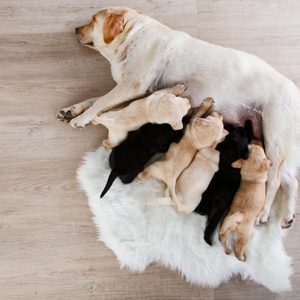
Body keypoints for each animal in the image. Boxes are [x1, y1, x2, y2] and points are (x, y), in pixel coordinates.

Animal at [58, 7, 300, 227]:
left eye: (92, 20)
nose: (75, 29)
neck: (132, 36)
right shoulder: (135, 91)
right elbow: (96, 100)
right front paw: (73, 109)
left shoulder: (132, 86)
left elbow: (101, 101)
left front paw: (81, 118)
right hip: (269, 142)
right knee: (290, 180)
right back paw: (287, 216)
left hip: (275, 137)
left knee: (275, 179)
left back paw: (264, 213)